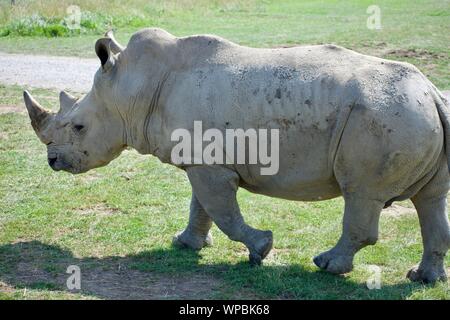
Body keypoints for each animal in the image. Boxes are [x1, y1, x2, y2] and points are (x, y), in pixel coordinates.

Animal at [23, 28, 450, 282]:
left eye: (78, 127)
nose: (53, 161)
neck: (134, 90)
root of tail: (431, 90)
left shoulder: (207, 165)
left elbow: (223, 211)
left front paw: (261, 249)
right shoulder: (202, 159)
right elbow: (202, 207)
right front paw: (186, 244)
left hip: (384, 117)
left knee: (361, 194)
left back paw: (327, 267)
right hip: (412, 114)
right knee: (430, 199)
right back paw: (422, 278)